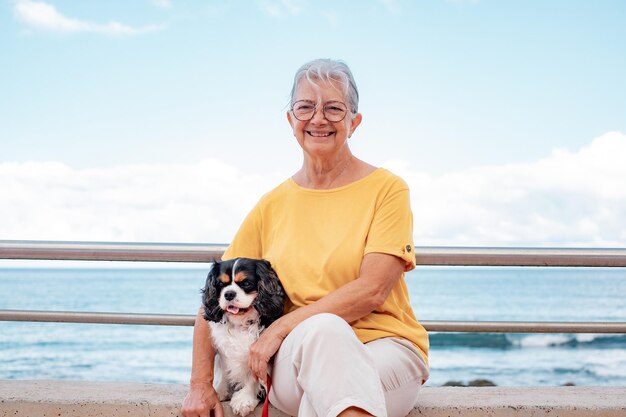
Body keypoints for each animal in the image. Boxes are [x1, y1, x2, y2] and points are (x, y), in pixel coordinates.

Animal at [201, 256, 284, 416]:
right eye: (221, 284)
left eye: (246, 283)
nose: (229, 294)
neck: (240, 324)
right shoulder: (225, 349)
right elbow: (225, 370)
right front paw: (219, 391)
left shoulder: (256, 354)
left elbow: (252, 377)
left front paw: (244, 400)